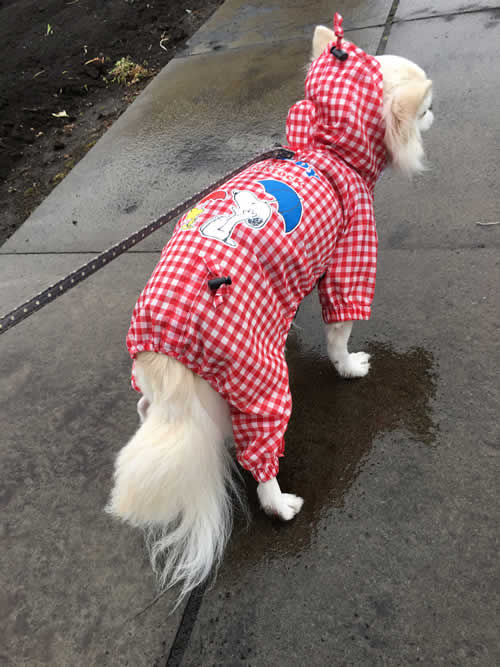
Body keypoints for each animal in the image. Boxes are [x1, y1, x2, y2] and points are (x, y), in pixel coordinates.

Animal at [106, 18, 434, 604]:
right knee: (260, 456)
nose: (437, 113)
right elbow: (339, 331)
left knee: (153, 413)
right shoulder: (349, 258)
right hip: (261, 381)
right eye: (424, 111)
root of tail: (168, 341)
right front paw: (349, 367)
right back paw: (280, 503)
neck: (328, 149)